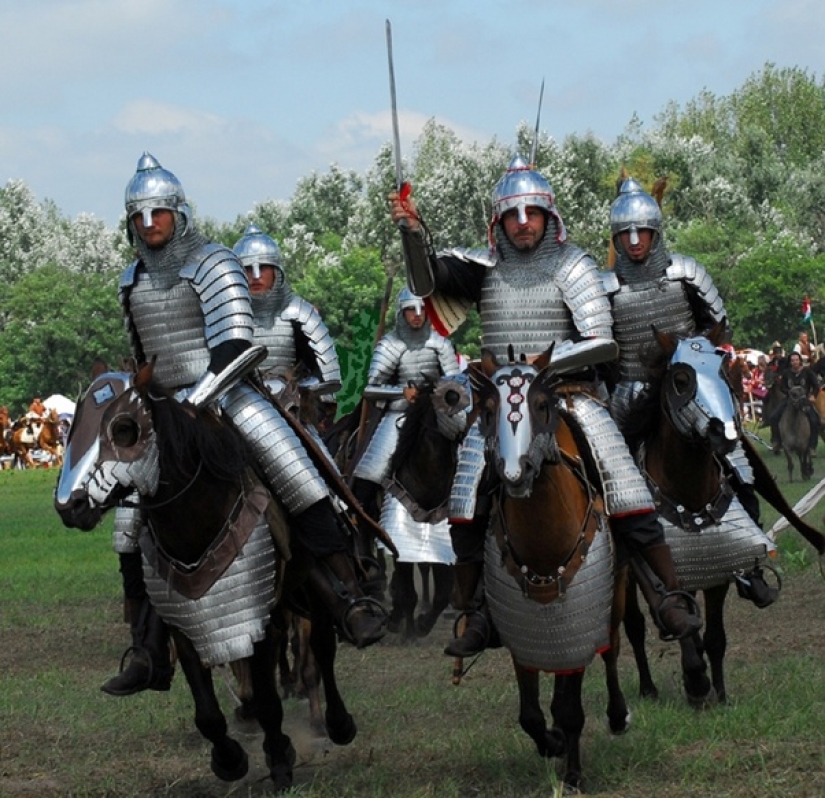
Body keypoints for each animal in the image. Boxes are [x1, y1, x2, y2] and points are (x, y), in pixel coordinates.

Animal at [54, 362, 358, 792]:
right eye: (73, 428)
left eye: (124, 428)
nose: (71, 506)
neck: (194, 521)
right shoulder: (186, 625)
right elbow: (208, 712)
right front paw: (230, 758)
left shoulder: (263, 618)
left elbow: (271, 696)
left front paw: (280, 758)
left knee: (322, 651)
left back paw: (335, 720)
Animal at [382, 376, 470, 644]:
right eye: (452, 397)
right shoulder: (398, 541)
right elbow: (409, 592)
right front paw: (410, 631)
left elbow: (443, 594)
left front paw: (422, 624)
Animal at [466, 344, 628, 792]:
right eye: (488, 410)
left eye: (541, 404)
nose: (514, 473)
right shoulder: (526, 634)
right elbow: (531, 714)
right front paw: (551, 742)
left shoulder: (581, 622)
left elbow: (571, 707)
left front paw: (572, 774)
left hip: (617, 594)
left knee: (613, 649)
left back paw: (618, 714)